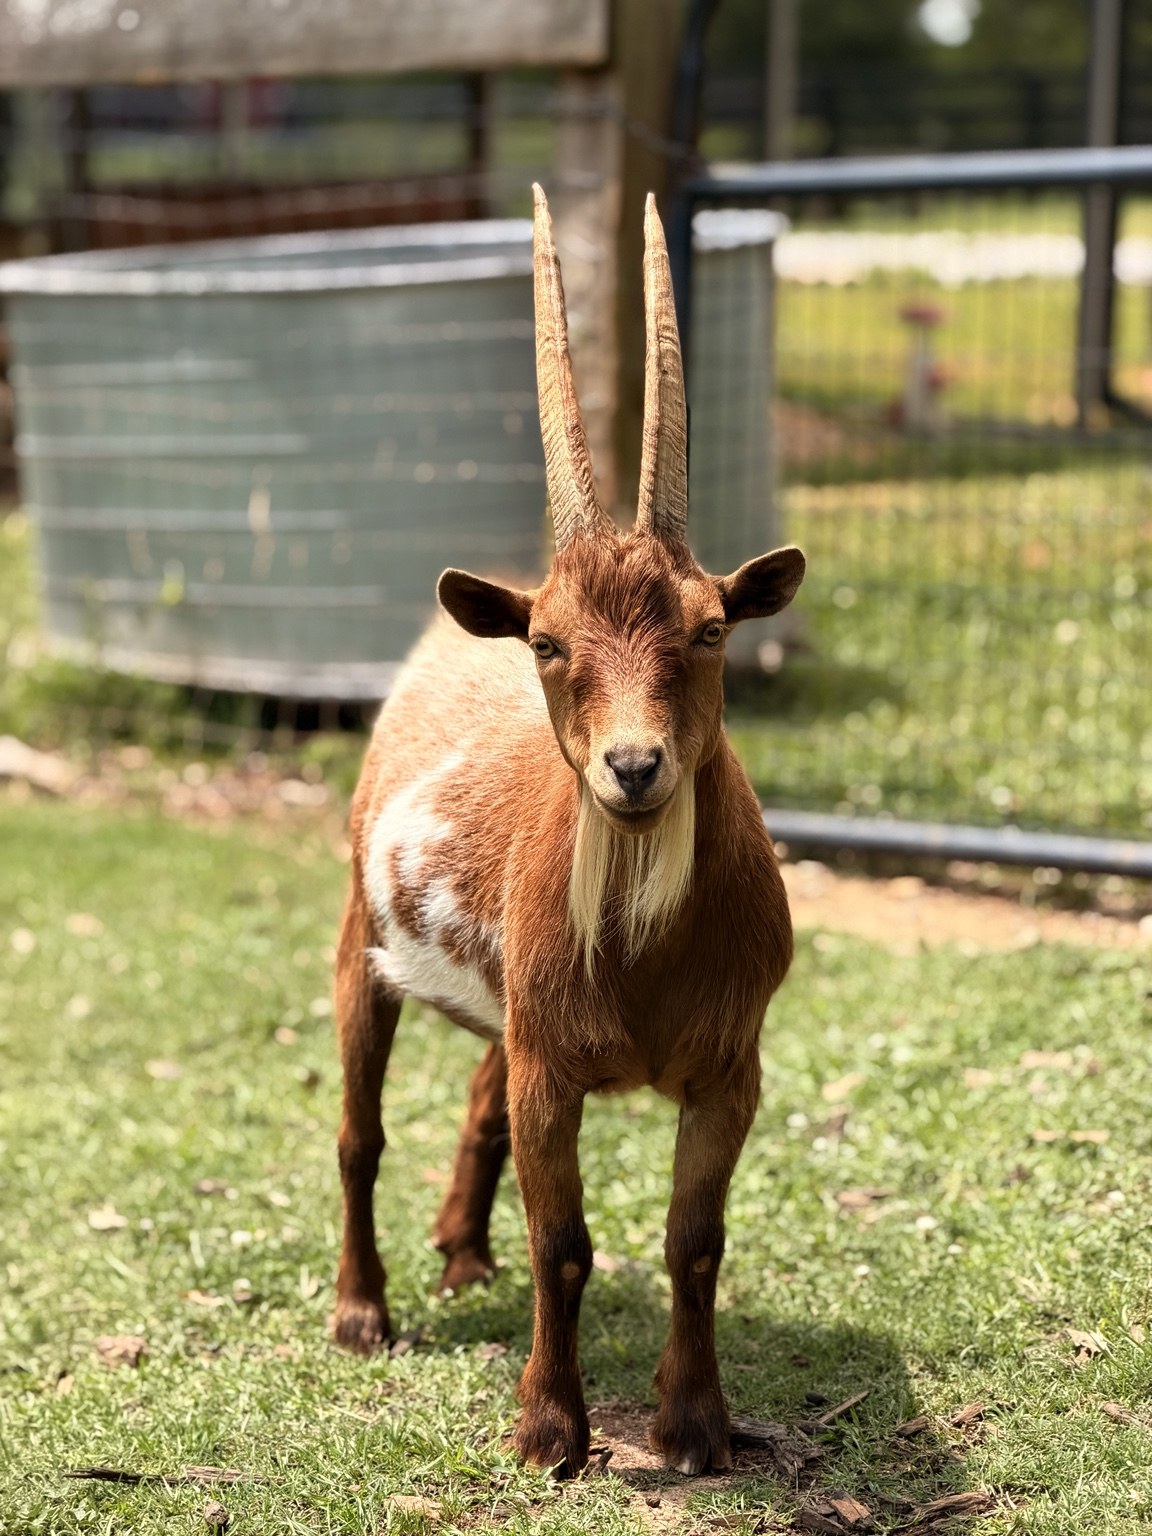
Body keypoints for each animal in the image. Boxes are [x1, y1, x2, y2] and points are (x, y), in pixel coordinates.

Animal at [332, 184, 805, 1477]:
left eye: (709, 628)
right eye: (549, 642)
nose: (633, 768)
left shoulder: (728, 1065)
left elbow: (694, 1241)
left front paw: (696, 1427)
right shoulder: (556, 1065)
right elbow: (567, 1243)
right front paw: (550, 1428)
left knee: (477, 1102)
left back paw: (459, 1251)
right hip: (358, 946)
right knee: (358, 1133)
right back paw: (361, 1311)